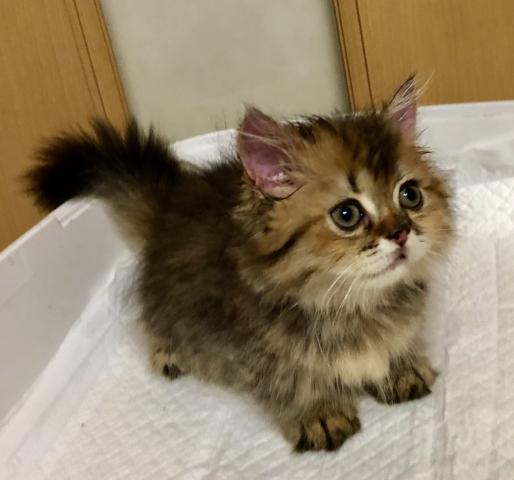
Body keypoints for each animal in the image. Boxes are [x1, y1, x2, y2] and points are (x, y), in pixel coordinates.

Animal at [26, 77, 453, 452]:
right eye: (347, 214)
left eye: (410, 195)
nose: (401, 232)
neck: (354, 305)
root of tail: (171, 204)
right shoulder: (260, 352)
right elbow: (295, 383)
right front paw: (319, 413)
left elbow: (401, 341)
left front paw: (401, 368)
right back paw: (168, 352)